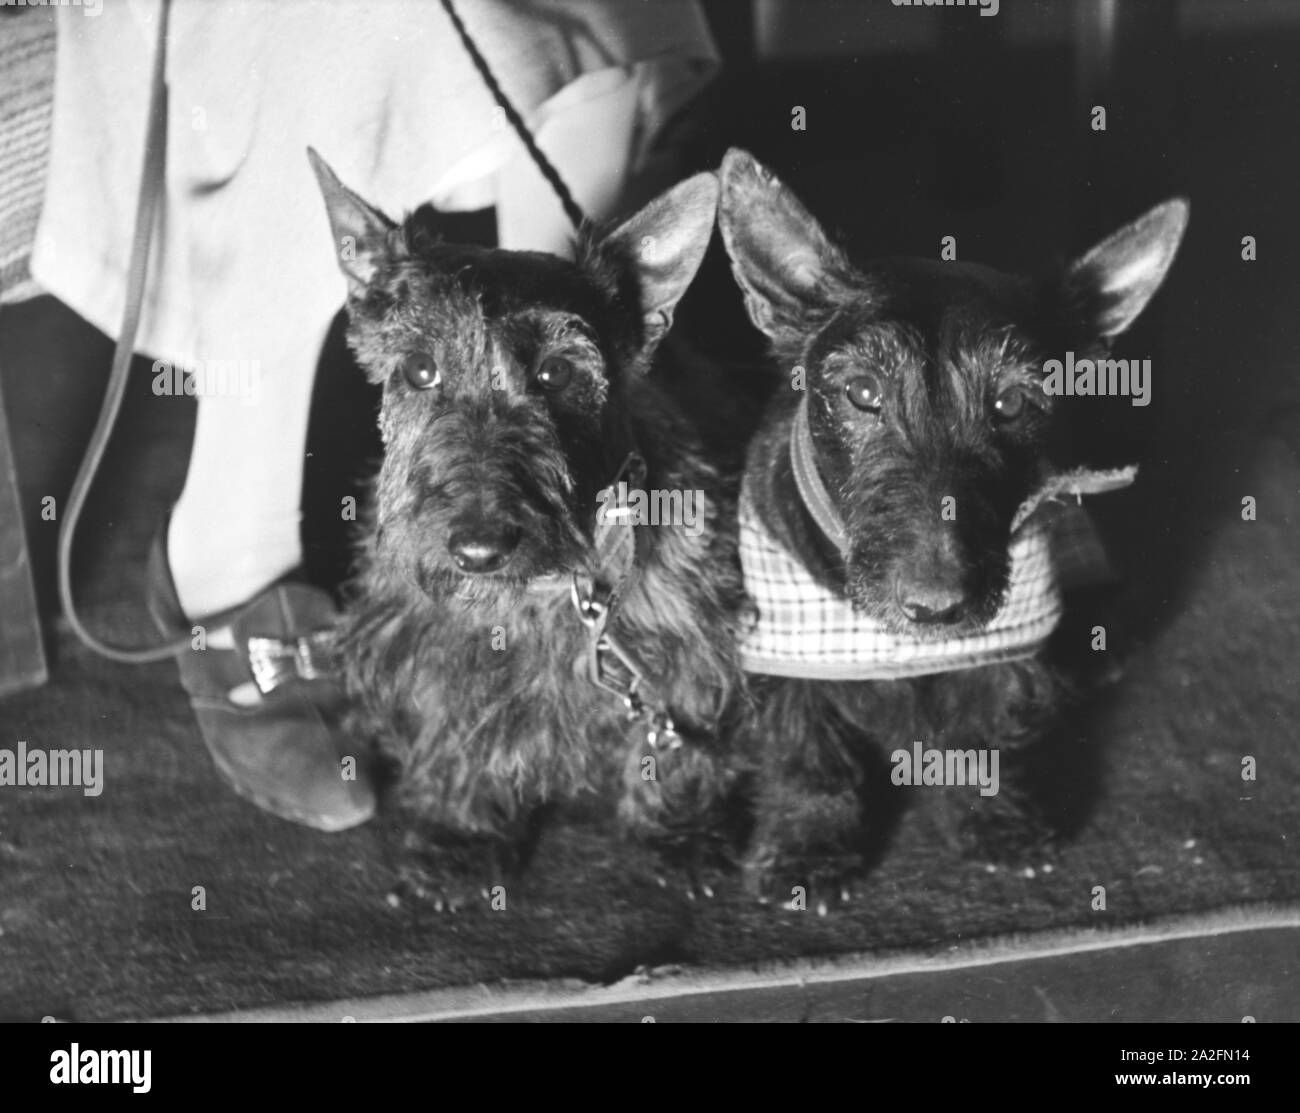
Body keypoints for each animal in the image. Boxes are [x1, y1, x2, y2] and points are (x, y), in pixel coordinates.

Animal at [722, 147, 1190, 910]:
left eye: (1013, 402)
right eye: (862, 392)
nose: (937, 606)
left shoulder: (1006, 646)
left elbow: (986, 730)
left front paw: (994, 824)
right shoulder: (780, 653)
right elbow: (804, 755)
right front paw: (806, 850)